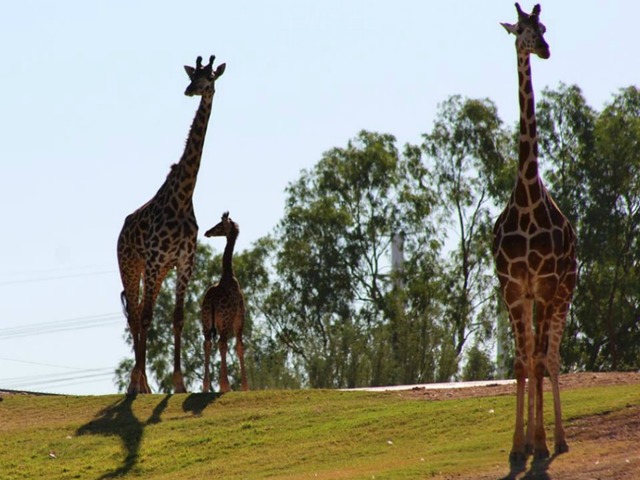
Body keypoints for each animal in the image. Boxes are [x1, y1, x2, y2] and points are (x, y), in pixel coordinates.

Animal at [117, 55, 226, 395]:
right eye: (194, 76)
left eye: (209, 78)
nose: (190, 90)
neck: (183, 195)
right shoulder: (154, 260)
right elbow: (148, 317)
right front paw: (137, 382)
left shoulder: (183, 261)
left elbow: (178, 318)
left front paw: (179, 384)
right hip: (132, 266)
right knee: (136, 314)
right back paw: (136, 383)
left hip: (158, 270)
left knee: (140, 311)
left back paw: (144, 383)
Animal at [201, 211, 248, 393]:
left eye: (219, 225)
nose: (207, 232)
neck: (228, 275)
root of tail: (213, 300)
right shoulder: (239, 319)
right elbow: (240, 347)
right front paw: (245, 386)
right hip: (225, 321)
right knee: (222, 343)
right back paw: (225, 386)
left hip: (206, 320)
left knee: (207, 344)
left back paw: (206, 387)